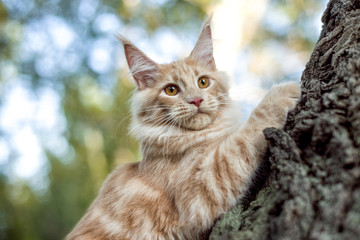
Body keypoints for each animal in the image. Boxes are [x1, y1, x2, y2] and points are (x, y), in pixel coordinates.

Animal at [67, 17, 300, 239]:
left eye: (203, 82)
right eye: (171, 90)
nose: (196, 100)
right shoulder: (202, 187)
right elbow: (245, 135)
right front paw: (283, 92)